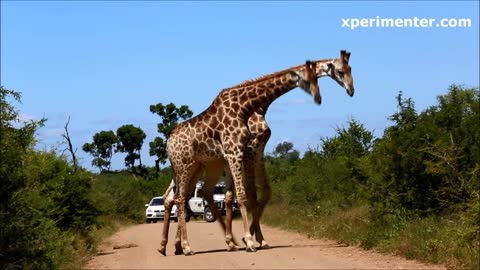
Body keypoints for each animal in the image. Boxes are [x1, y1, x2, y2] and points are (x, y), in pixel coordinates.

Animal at [159, 50, 354, 255]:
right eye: (340, 71)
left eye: (350, 70)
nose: (351, 90)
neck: (250, 107)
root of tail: (168, 142)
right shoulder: (242, 151)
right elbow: (244, 195)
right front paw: (250, 240)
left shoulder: (251, 151)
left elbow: (255, 193)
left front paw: (253, 239)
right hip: (185, 166)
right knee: (179, 198)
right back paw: (186, 246)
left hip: (198, 167)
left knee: (185, 195)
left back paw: (175, 245)